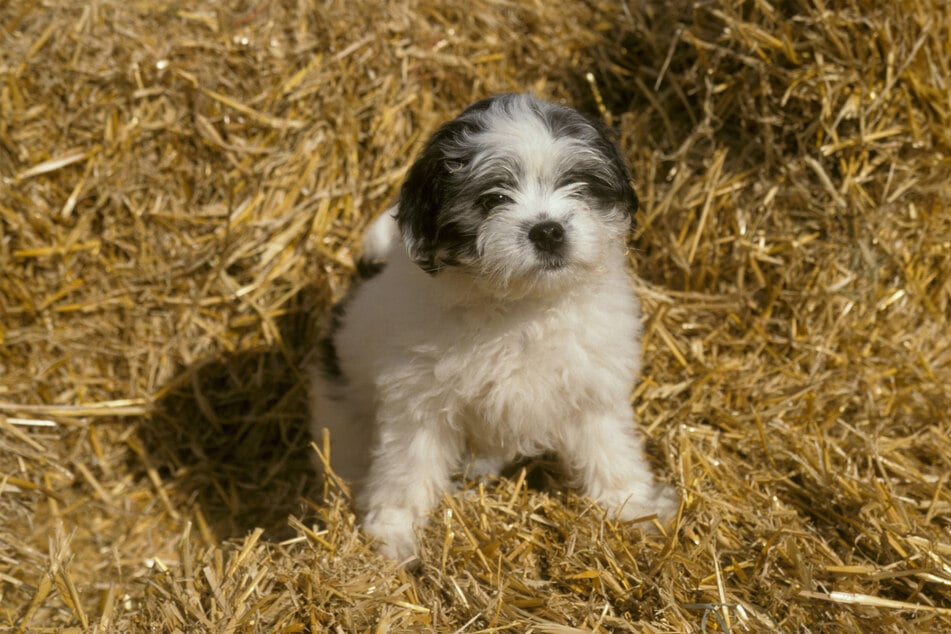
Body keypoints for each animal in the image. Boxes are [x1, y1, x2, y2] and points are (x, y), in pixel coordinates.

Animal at [310, 92, 676, 556]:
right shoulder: (418, 404)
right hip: (340, 410)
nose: (548, 231)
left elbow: (609, 447)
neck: (523, 307)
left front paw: (633, 507)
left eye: (577, 184)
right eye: (492, 198)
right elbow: (406, 468)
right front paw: (393, 536)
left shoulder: (590, 387)